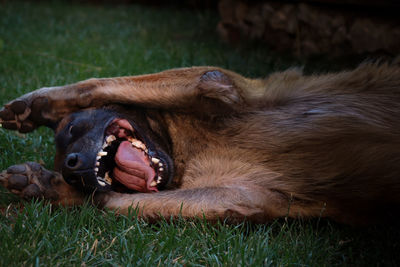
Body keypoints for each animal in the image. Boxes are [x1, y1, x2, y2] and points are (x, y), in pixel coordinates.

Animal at [0, 63, 400, 225]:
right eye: (65, 163)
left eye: (72, 130)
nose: (71, 167)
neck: (183, 147)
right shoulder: (246, 196)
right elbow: (109, 200)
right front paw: (50, 188)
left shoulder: (223, 86)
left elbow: (97, 84)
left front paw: (40, 104)